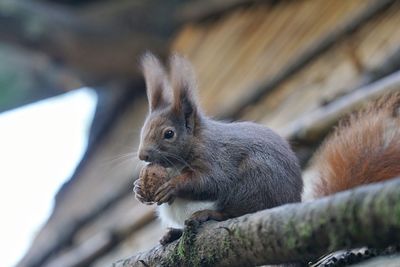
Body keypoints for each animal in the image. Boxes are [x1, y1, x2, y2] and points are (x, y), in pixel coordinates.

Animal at [134, 51, 400, 246]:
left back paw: (208, 215)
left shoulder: (215, 157)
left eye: (169, 134)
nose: (142, 155)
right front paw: (138, 188)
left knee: (235, 212)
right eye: (143, 129)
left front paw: (173, 186)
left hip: (254, 182)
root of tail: (292, 202)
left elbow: (210, 181)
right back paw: (172, 233)